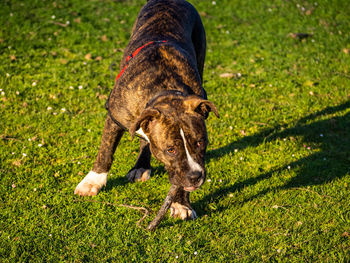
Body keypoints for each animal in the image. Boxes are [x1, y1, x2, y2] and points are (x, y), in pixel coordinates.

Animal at [75, 0, 217, 221]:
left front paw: (181, 203)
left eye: (201, 142)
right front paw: (93, 181)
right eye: (170, 150)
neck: (165, 91)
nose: (195, 176)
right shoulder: (114, 117)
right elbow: (106, 150)